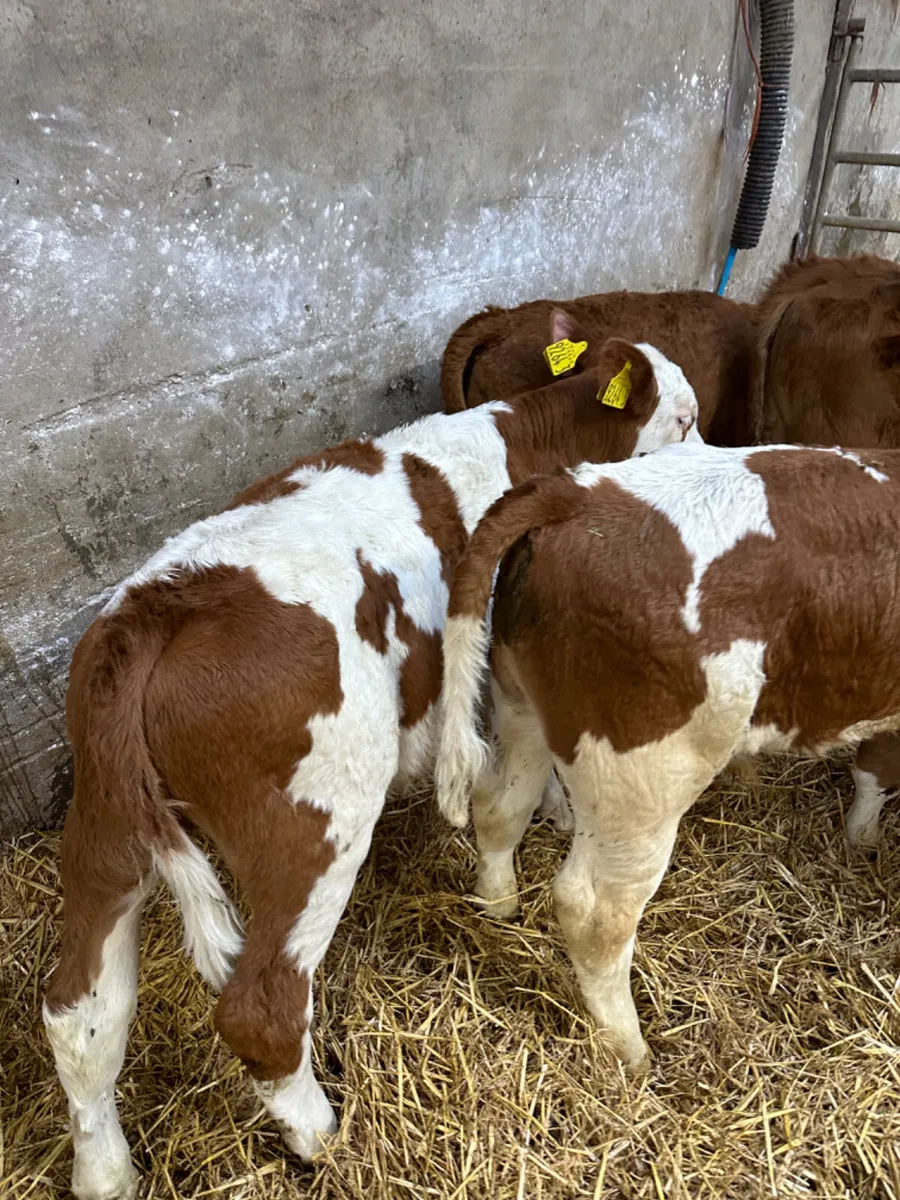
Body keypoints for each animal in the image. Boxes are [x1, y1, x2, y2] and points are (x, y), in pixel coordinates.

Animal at [43, 324, 698, 1200]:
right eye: (685, 418)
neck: (533, 438)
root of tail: (161, 606)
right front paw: (548, 822)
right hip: (318, 822)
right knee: (261, 1007)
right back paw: (321, 1135)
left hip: (103, 824)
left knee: (81, 1012)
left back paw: (106, 1172)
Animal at [435, 441, 900, 1071]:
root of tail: (574, 493)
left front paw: (860, 838)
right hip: (650, 768)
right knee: (594, 912)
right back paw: (628, 1050)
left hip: (521, 702)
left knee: (500, 806)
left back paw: (498, 903)